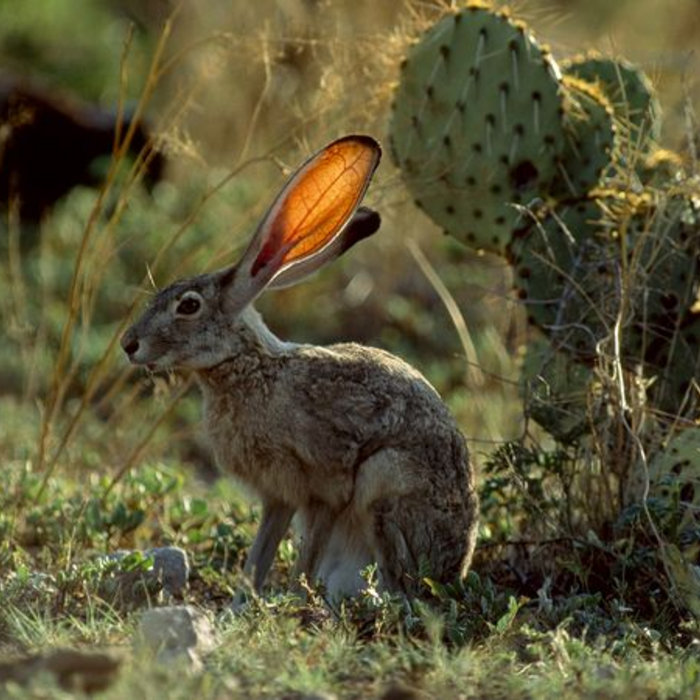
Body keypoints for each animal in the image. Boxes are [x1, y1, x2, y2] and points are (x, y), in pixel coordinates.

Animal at [121, 134, 479, 600]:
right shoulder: (277, 497)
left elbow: (307, 552)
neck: (249, 366)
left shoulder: (322, 485)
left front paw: (290, 596)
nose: (129, 345)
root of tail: (457, 567)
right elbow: (259, 555)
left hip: (384, 480)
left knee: (397, 580)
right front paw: (242, 602)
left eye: (188, 306)